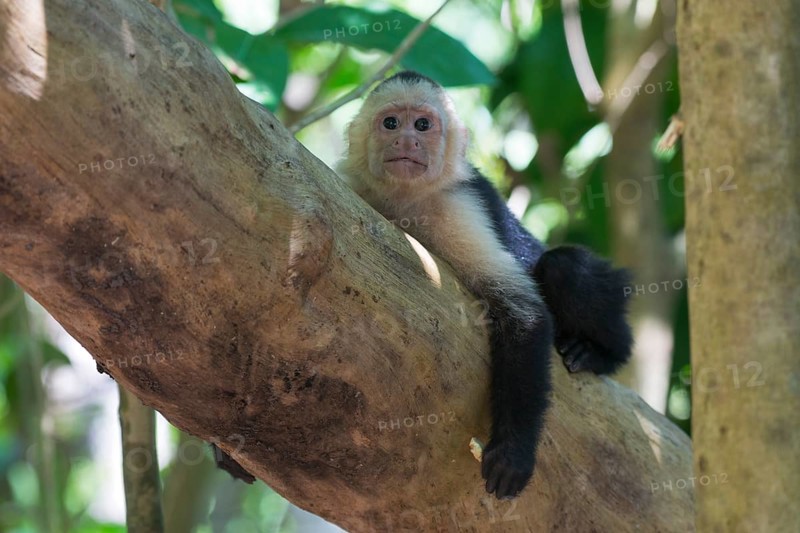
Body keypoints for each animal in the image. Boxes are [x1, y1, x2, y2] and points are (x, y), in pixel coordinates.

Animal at [336, 71, 633, 499]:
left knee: (563, 267)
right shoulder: (356, 189)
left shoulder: (455, 206)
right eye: (390, 123)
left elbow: (523, 312)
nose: (406, 141)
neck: (404, 202)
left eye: (422, 125)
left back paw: (599, 352)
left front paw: (513, 453)